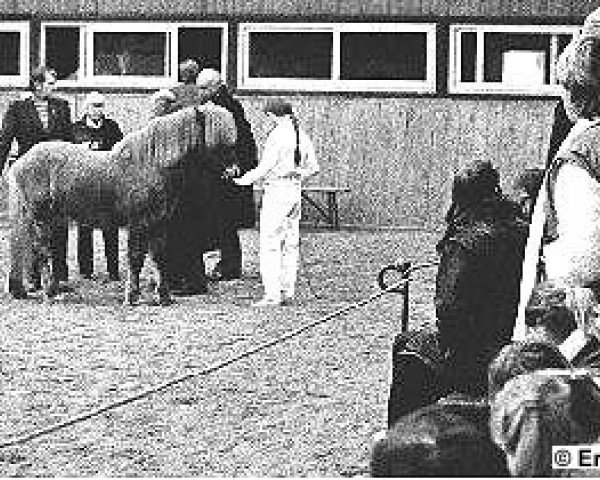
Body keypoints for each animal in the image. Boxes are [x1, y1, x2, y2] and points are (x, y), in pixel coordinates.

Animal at [7, 103, 238, 306]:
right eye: (216, 139)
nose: (234, 171)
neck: (150, 164)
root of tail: (21, 162)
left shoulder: (159, 224)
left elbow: (158, 258)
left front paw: (163, 296)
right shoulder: (138, 224)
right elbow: (135, 258)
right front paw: (132, 296)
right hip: (41, 220)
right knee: (42, 252)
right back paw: (49, 293)